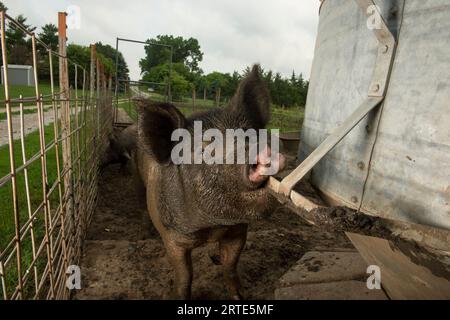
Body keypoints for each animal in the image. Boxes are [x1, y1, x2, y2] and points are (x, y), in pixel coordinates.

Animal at [133, 65, 284, 300]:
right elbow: (185, 276)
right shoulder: (172, 238)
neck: (212, 226)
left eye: (249, 135)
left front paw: (239, 297)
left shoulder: (238, 231)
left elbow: (230, 267)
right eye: (205, 147)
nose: (261, 152)